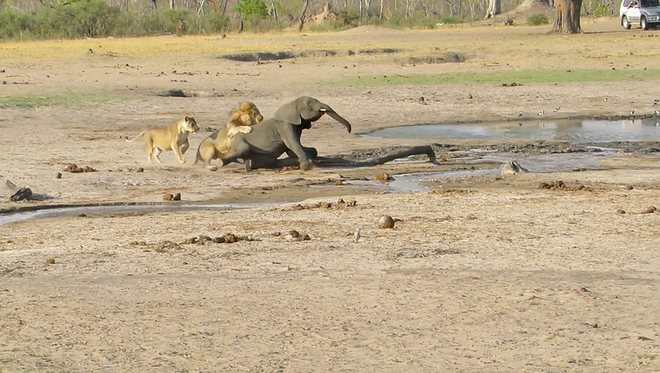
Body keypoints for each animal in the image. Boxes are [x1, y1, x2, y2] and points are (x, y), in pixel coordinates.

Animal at [219, 96, 350, 171]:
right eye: (309, 104)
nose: (349, 130)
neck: (292, 104)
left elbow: (295, 150)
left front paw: (315, 162)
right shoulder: (285, 125)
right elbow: (292, 144)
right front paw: (307, 166)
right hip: (238, 141)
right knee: (244, 149)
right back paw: (220, 162)